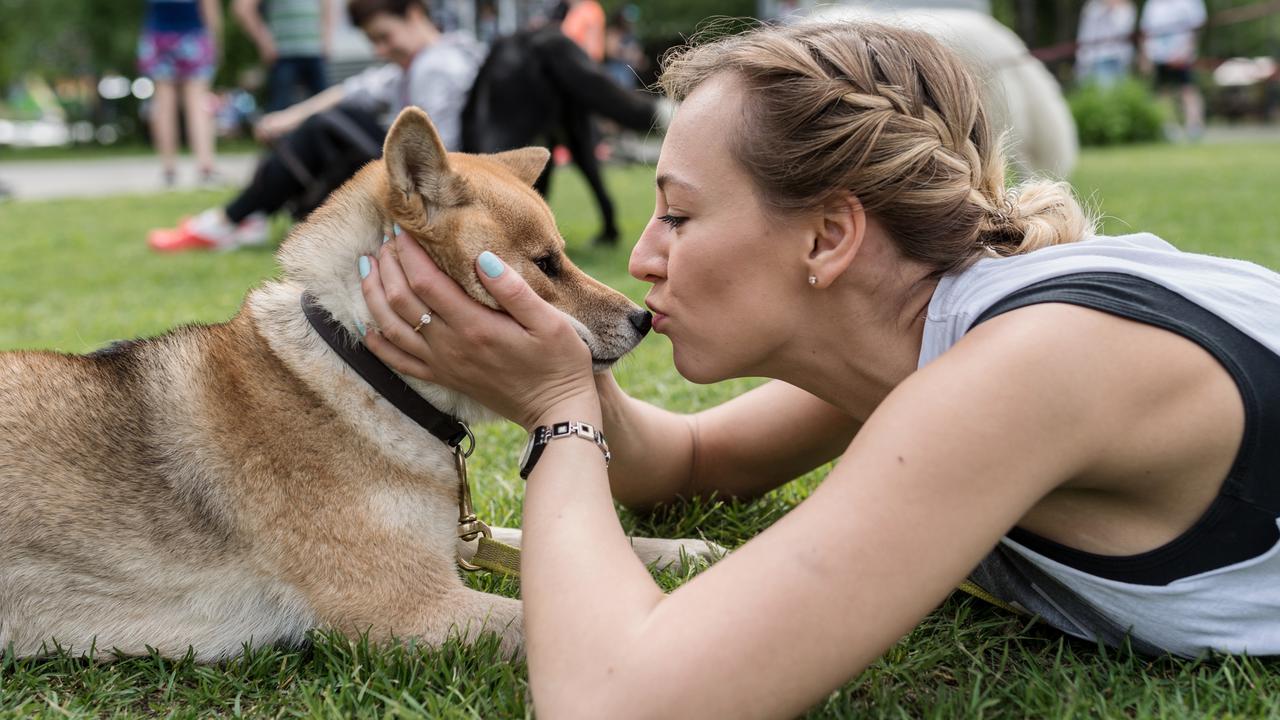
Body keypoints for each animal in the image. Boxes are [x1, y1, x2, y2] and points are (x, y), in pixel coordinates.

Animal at [0, 103, 721, 661]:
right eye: (545, 263)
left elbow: (605, 545)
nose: (644, 318)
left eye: (562, 256)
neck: (363, 373)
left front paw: (689, 549)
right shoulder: (409, 607)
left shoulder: (451, 547)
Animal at [282, 27, 660, 243]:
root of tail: (538, 37)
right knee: (598, 186)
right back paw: (607, 236)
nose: (295, 210)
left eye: (323, 175)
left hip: (505, 125)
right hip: (574, 133)